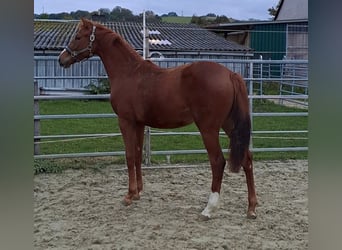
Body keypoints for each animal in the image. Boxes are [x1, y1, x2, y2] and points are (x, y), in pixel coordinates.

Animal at [58, 18, 256, 219]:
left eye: (78, 37)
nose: (61, 59)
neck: (129, 72)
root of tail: (230, 74)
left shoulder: (126, 122)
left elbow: (129, 155)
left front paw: (128, 195)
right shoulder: (138, 124)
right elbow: (138, 154)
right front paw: (137, 192)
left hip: (208, 128)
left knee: (218, 161)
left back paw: (209, 208)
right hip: (229, 125)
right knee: (247, 159)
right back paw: (251, 208)